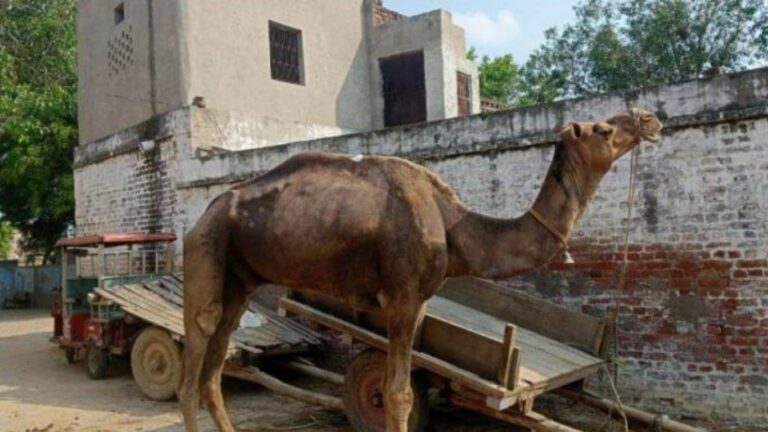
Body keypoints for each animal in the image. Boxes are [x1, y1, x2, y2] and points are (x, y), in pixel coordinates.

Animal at [179, 108, 663, 432]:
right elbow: (398, 394)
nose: (649, 118)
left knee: (214, 370)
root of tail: (204, 213)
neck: (454, 226)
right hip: (205, 249)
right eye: (604, 128)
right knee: (193, 361)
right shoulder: (403, 297)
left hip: (239, 281)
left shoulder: (420, 301)